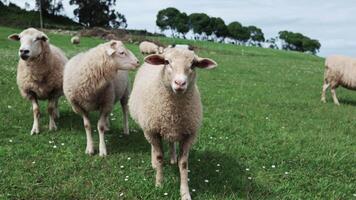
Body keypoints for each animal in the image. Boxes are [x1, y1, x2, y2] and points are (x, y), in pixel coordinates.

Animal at [128, 47, 217, 199]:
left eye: (193, 64)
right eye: (167, 62)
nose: (180, 83)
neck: (174, 111)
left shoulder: (188, 135)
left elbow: (184, 164)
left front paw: (185, 192)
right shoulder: (153, 130)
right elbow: (159, 157)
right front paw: (159, 184)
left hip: (171, 128)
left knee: (171, 141)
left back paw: (173, 158)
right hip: (149, 127)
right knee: (153, 146)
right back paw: (154, 163)